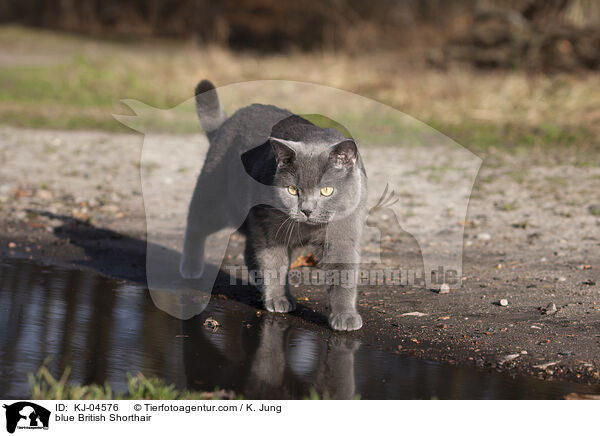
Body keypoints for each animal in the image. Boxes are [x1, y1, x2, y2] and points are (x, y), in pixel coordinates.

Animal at [179, 80, 366, 330]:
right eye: (292, 190)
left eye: (326, 190)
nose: (307, 210)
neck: (309, 227)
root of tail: (227, 122)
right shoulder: (270, 231)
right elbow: (274, 264)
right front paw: (278, 299)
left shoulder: (343, 235)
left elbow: (343, 274)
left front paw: (345, 316)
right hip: (216, 199)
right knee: (196, 225)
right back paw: (191, 268)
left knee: (249, 250)